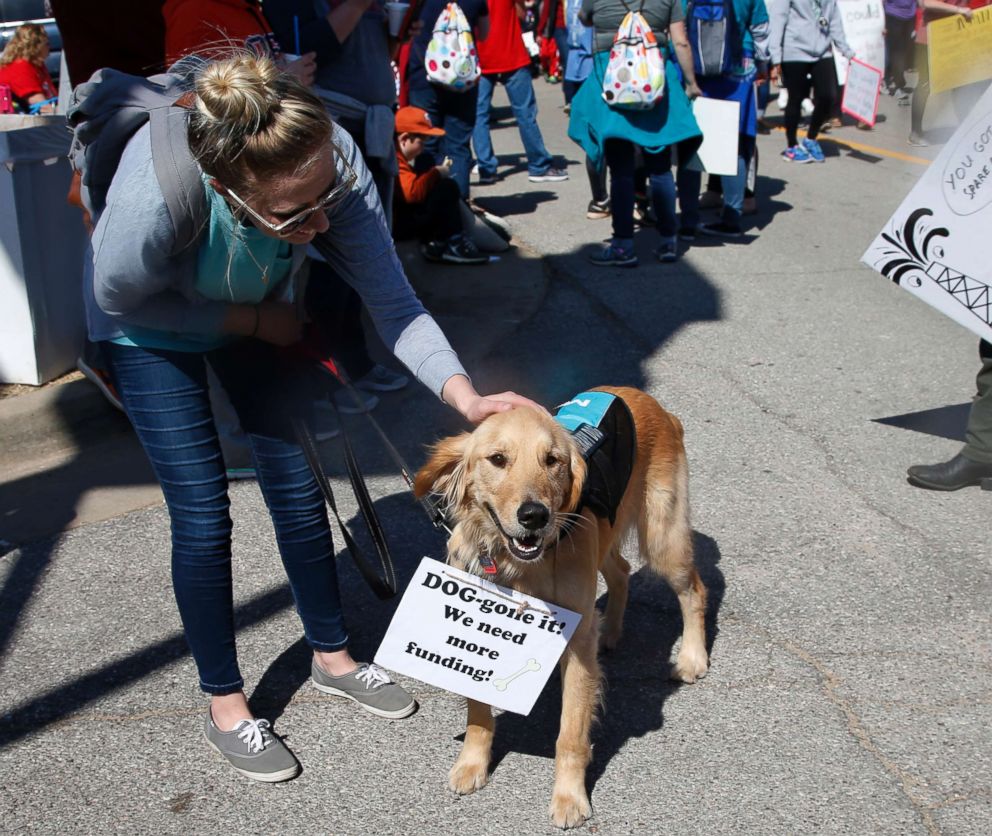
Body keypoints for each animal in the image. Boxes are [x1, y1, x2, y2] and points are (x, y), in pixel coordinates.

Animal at [414, 386, 708, 828]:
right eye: (497, 459)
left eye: (552, 461)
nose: (534, 515)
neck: (519, 566)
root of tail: (651, 402)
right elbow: (478, 711)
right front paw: (472, 764)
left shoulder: (577, 640)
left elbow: (570, 734)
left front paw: (569, 798)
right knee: (622, 572)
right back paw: (613, 632)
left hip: (664, 539)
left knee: (694, 590)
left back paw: (692, 657)